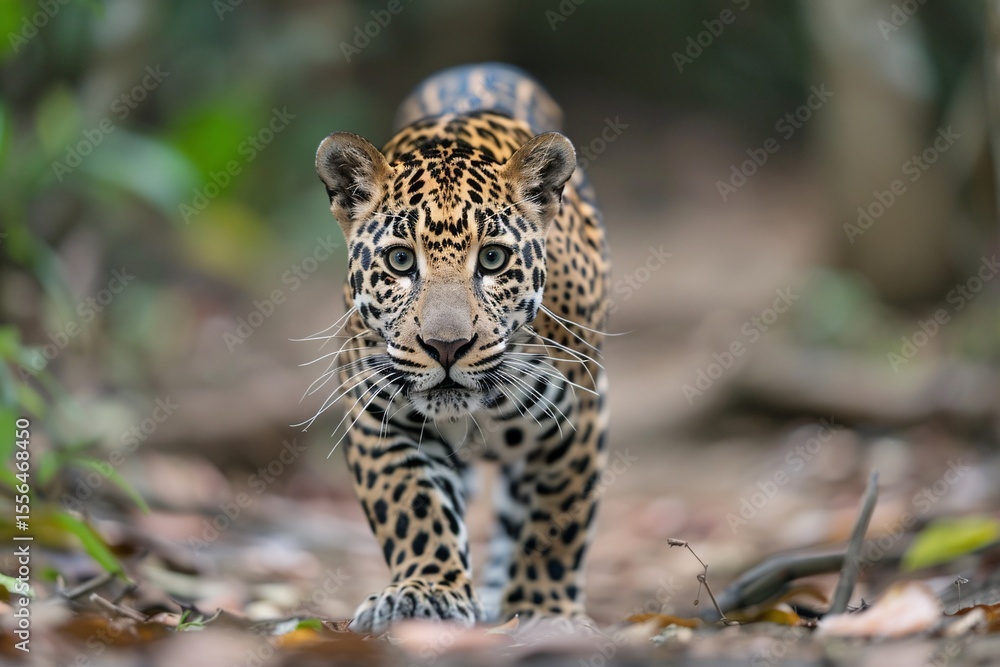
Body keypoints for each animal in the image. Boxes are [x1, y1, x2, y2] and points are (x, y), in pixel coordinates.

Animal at [309, 63, 610, 633]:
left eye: (492, 259)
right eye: (401, 261)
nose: (446, 347)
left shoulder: (577, 417)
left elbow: (556, 520)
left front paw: (544, 610)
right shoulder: (378, 416)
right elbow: (412, 506)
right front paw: (425, 591)